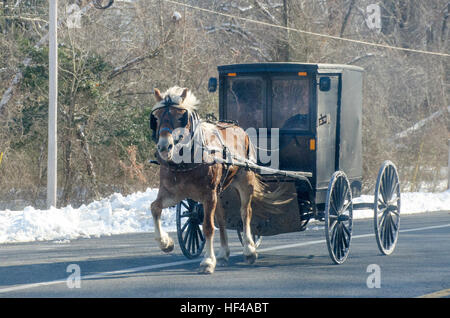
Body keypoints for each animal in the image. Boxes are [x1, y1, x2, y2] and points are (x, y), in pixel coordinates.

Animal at [148, 86, 288, 274]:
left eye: (180, 117)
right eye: (156, 118)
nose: (164, 147)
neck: (187, 160)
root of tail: (240, 129)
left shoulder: (209, 194)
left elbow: (208, 226)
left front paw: (207, 261)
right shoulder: (172, 193)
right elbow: (155, 207)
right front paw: (166, 243)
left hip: (245, 182)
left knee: (245, 212)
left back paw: (249, 250)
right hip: (221, 191)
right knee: (221, 218)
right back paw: (223, 254)